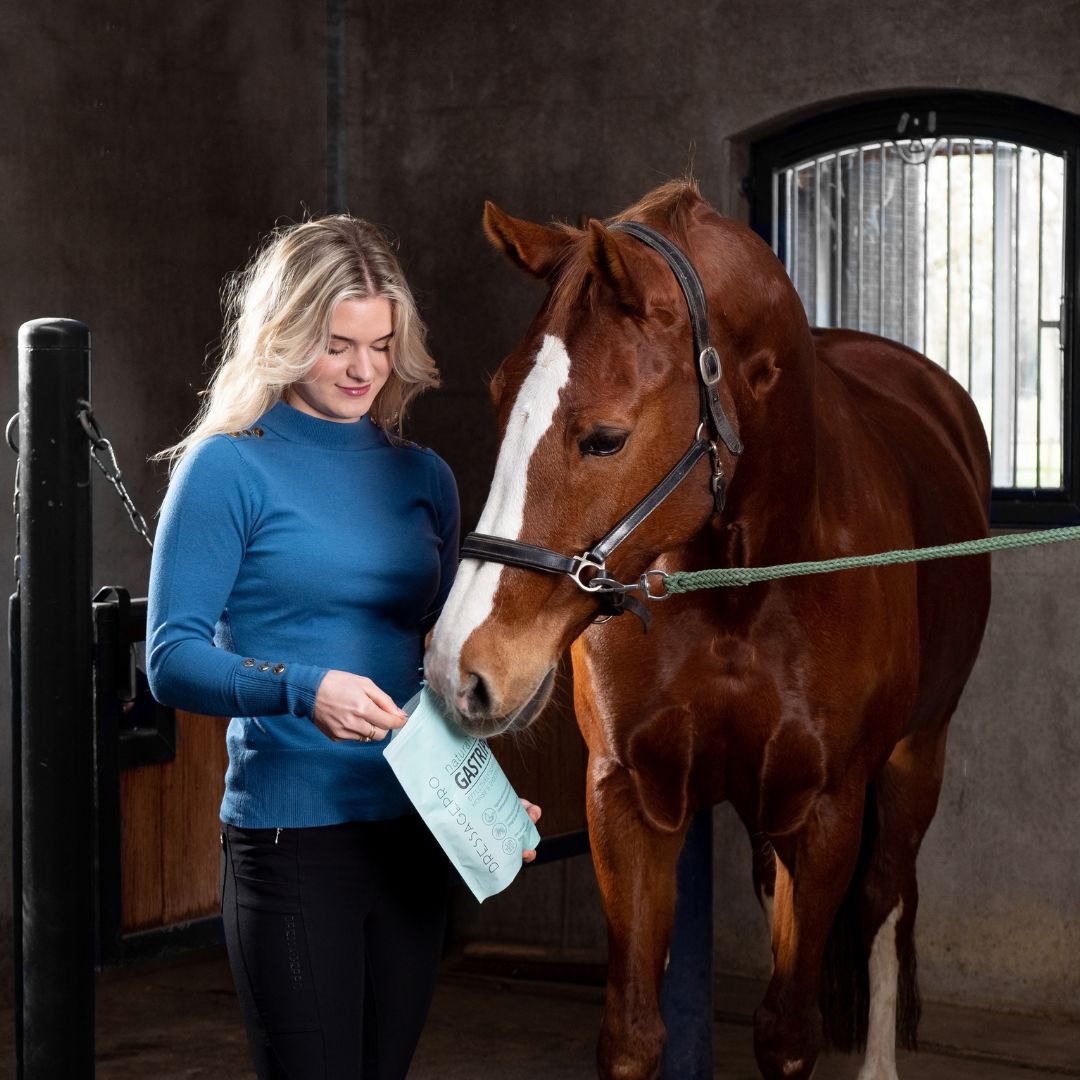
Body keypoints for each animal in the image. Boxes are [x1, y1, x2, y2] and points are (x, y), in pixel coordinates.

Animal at [421, 179, 989, 1080]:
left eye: (604, 437)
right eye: (499, 397)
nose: (457, 668)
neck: (743, 595)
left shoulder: (827, 809)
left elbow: (789, 1035)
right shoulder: (629, 798)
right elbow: (632, 1036)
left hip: (914, 760)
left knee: (885, 901)